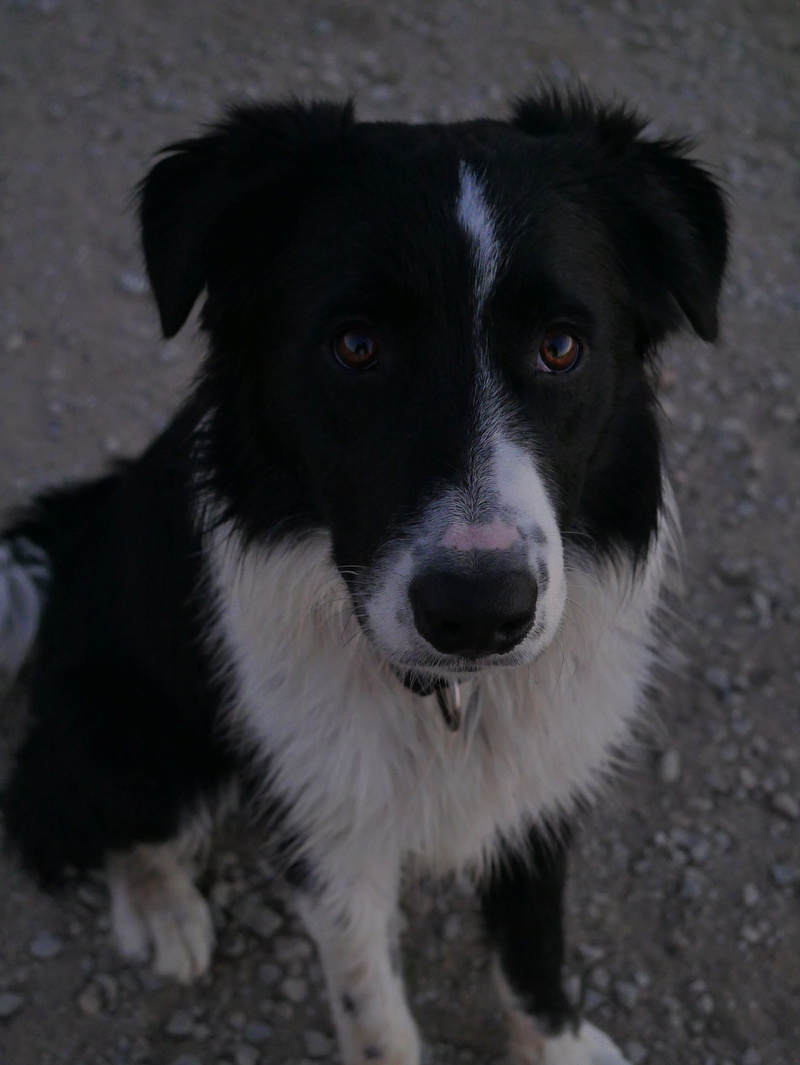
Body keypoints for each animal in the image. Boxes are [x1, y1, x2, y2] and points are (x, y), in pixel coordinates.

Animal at [0, 91, 724, 1065]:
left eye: (562, 347)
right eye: (355, 344)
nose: (480, 612)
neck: (451, 699)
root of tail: (80, 526)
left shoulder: (542, 775)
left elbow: (533, 936)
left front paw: (557, 1041)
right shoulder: (326, 824)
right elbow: (371, 1002)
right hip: (141, 738)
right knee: (67, 811)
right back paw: (164, 912)